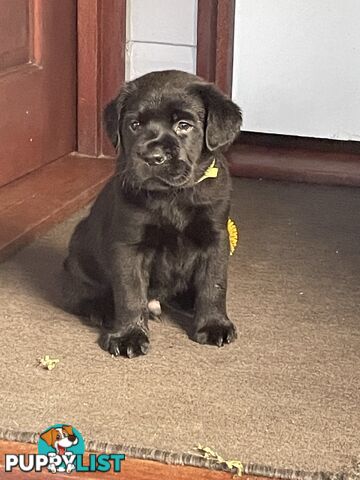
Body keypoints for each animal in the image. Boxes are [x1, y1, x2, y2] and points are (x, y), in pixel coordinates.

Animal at [63, 69, 242, 358]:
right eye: (134, 125)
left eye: (184, 125)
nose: (153, 157)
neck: (172, 196)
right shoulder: (129, 245)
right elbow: (130, 293)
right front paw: (129, 335)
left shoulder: (215, 237)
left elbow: (214, 283)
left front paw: (214, 324)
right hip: (79, 258)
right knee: (80, 294)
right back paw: (102, 310)